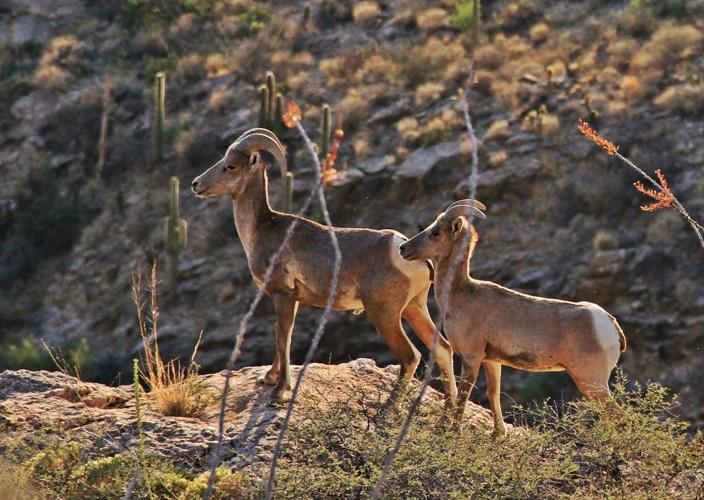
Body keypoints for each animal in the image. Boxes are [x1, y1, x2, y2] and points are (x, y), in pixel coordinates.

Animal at [191, 128, 458, 406]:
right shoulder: (291, 299)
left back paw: (387, 410)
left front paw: (279, 391)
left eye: (230, 166)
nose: (196, 184)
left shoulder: (282, 295)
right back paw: (450, 413)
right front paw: (270, 379)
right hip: (414, 308)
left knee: (410, 356)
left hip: (385, 314)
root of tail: (403, 248)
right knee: (442, 349)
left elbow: (283, 335)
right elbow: (280, 335)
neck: (260, 229)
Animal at [399, 200, 627, 435]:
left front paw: (455, 432)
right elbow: (493, 394)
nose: (403, 248)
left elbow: (463, 398)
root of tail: (611, 326)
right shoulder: (492, 361)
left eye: (435, 232)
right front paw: (498, 434)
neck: (460, 294)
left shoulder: (471, 358)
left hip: (591, 382)